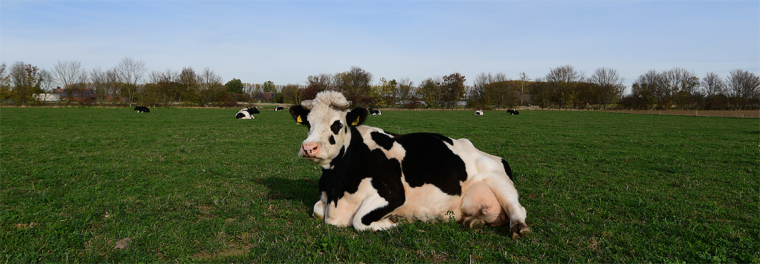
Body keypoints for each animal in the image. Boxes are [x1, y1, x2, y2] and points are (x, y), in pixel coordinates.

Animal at [288, 91, 532, 239]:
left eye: (337, 124)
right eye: (308, 123)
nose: (309, 148)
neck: (338, 185)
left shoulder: (394, 194)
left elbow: (359, 221)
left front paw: (395, 221)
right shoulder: (324, 199)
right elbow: (317, 210)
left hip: (498, 180)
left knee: (517, 209)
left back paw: (519, 228)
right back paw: (473, 222)